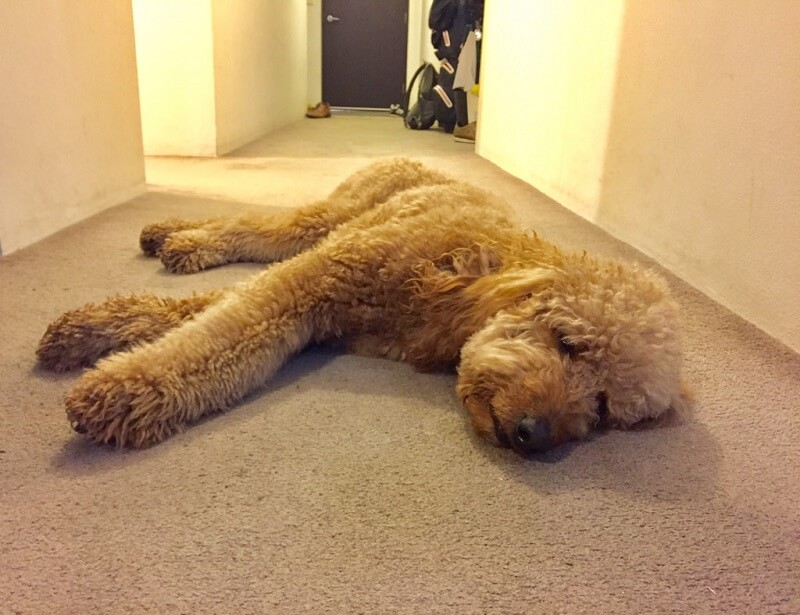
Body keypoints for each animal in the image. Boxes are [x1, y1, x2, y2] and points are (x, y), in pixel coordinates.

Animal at [37, 159, 688, 458]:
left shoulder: (316, 304)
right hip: (328, 219)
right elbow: (214, 339)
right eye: (567, 341)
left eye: (602, 408)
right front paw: (119, 390)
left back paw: (171, 238)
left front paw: (93, 335)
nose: (535, 435)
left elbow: (201, 314)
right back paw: (178, 236)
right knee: (252, 226)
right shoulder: (311, 279)